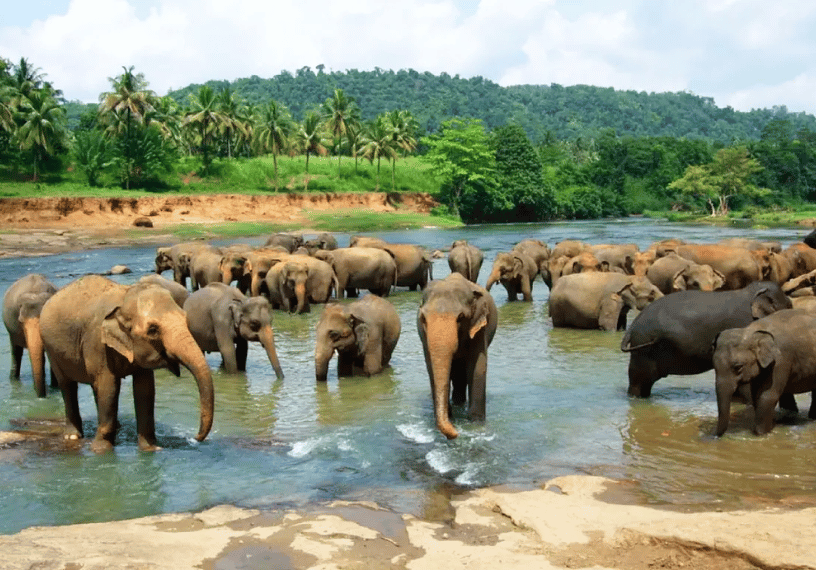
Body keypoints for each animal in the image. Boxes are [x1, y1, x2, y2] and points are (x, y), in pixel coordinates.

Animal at [38, 275, 214, 452]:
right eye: (153, 330)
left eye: (186, 319)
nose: (196, 437)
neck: (125, 296)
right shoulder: (97, 343)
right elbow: (109, 387)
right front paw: (101, 450)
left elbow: (144, 390)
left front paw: (150, 449)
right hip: (51, 349)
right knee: (68, 386)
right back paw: (72, 436)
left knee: (95, 387)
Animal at [417, 273, 498, 439]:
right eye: (423, 319)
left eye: (461, 317)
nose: (456, 433)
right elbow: (431, 370)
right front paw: (450, 418)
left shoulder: (479, 329)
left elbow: (477, 367)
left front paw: (476, 425)